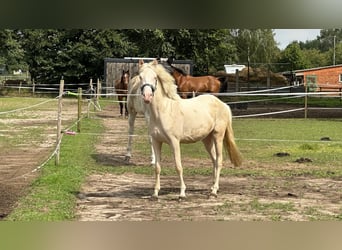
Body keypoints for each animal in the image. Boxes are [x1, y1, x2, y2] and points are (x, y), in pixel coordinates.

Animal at [138, 59, 242, 198]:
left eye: (155, 78)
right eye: (140, 77)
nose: (147, 96)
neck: (163, 111)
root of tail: (223, 104)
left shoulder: (174, 142)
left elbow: (178, 166)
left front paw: (182, 193)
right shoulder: (156, 142)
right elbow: (157, 167)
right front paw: (155, 193)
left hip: (218, 136)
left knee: (219, 161)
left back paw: (214, 191)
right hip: (207, 139)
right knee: (214, 161)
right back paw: (213, 187)